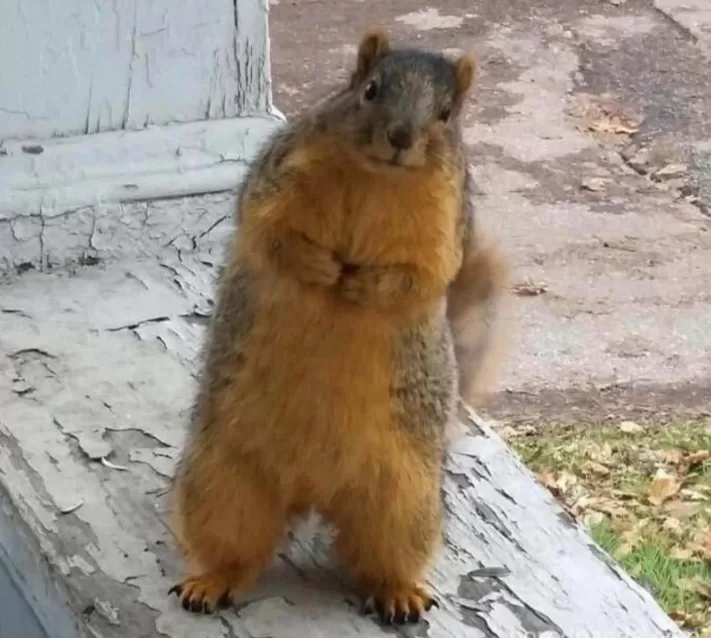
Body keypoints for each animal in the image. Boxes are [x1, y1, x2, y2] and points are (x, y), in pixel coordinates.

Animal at [168, 28, 508, 626]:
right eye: (369, 89)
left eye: (446, 114)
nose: (401, 137)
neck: (378, 179)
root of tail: (312, 490)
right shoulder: (278, 177)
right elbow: (272, 232)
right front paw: (321, 268)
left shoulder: (445, 225)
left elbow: (421, 276)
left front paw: (362, 286)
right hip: (220, 478)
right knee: (234, 546)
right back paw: (211, 581)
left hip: (404, 500)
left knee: (382, 555)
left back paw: (398, 593)